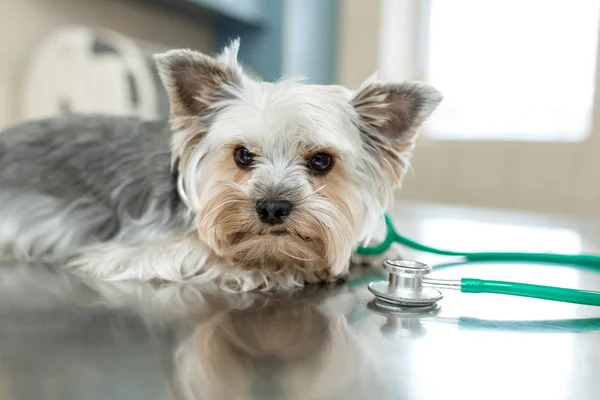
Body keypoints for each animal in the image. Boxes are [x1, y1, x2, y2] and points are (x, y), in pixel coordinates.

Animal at [0, 39, 440, 290]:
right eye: (242, 155)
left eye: (321, 161)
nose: (272, 207)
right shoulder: (133, 250)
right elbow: (205, 253)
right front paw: (274, 269)